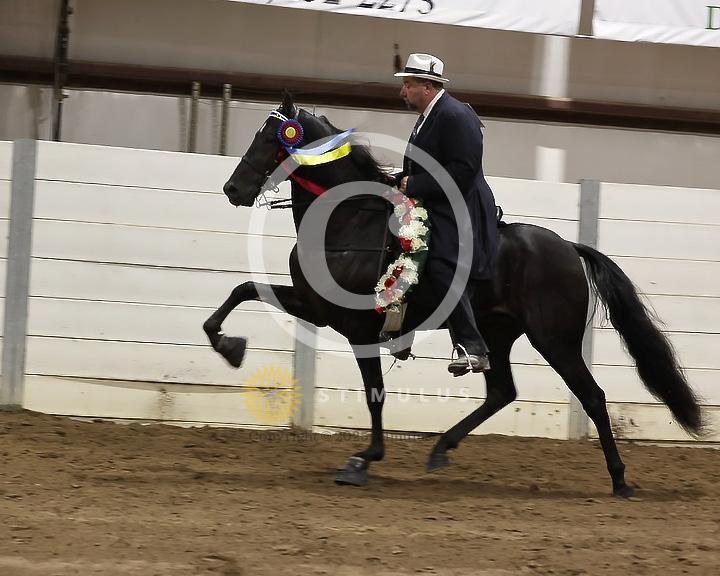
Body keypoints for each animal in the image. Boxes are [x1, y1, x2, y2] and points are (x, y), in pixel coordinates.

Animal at [203, 91, 703, 497]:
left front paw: (364, 461)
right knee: (502, 390)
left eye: (270, 139)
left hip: (554, 339)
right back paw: (442, 447)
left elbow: (374, 394)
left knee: (593, 397)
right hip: (498, 333)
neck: (347, 222)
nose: (232, 188)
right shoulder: (316, 307)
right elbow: (242, 290)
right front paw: (230, 347)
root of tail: (567, 246)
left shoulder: (355, 327)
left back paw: (620, 480)